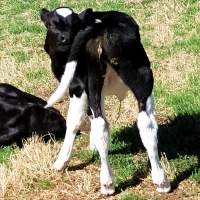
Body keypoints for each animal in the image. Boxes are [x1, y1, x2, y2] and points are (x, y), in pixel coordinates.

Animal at [41, 7, 172, 195]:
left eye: (72, 23)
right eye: (52, 24)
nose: (64, 38)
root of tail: (102, 25)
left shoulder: (77, 86)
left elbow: (73, 121)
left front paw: (61, 162)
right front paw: (92, 146)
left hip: (93, 80)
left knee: (100, 125)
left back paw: (107, 183)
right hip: (142, 76)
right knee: (146, 125)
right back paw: (161, 180)